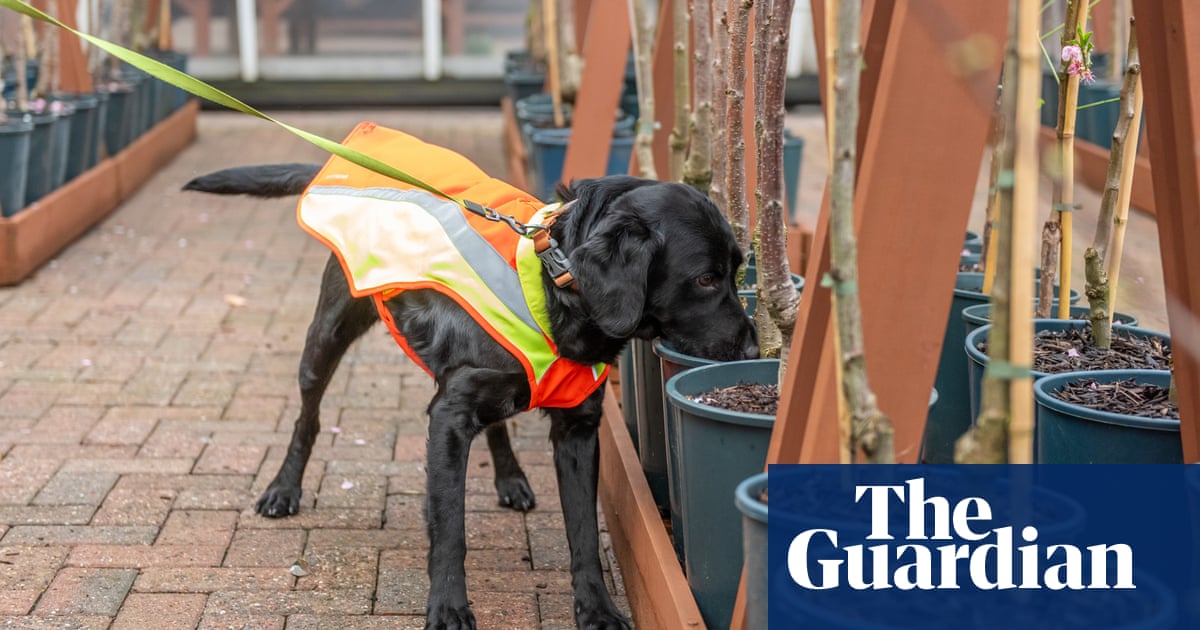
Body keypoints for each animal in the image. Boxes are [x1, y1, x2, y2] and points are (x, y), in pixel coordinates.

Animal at [182, 164, 753, 624]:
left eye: (738, 269)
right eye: (705, 278)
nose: (753, 345)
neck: (554, 285)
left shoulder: (578, 428)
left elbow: (585, 534)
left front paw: (597, 610)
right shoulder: (448, 419)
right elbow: (449, 530)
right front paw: (448, 608)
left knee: (498, 423)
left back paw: (511, 478)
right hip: (325, 337)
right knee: (308, 417)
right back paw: (283, 489)